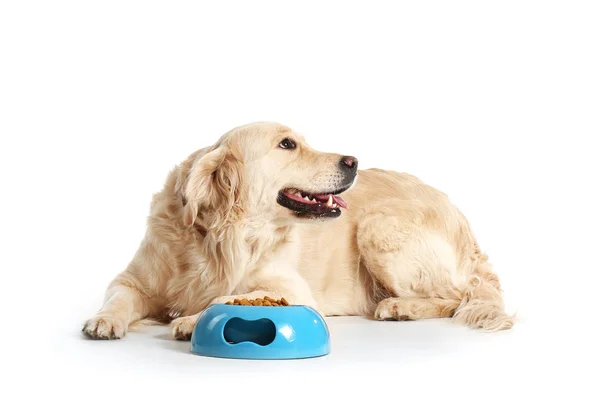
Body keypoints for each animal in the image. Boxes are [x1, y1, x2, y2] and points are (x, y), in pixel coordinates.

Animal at [82, 120, 512, 340]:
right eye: (287, 144)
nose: (353, 161)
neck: (224, 236)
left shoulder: (291, 288)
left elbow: (235, 295)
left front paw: (190, 319)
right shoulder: (133, 279)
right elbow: (119, 296)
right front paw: (105, 319)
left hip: (379, 225)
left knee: (459, 295)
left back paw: (400, 306)